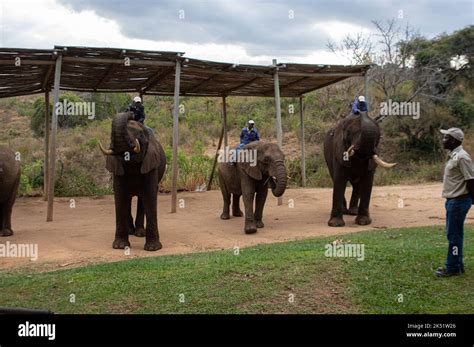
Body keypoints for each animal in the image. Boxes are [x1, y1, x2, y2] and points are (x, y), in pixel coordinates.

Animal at [98, 113, 167, 251]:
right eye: (110, 136)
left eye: (140, 134)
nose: (132, 113)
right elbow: (120, 196)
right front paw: (120, 246)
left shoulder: (151, 164)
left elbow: (150, 195)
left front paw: (153, 248)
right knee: (128, 199)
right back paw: (130, 231)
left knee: (141, 199)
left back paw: (139, 233)